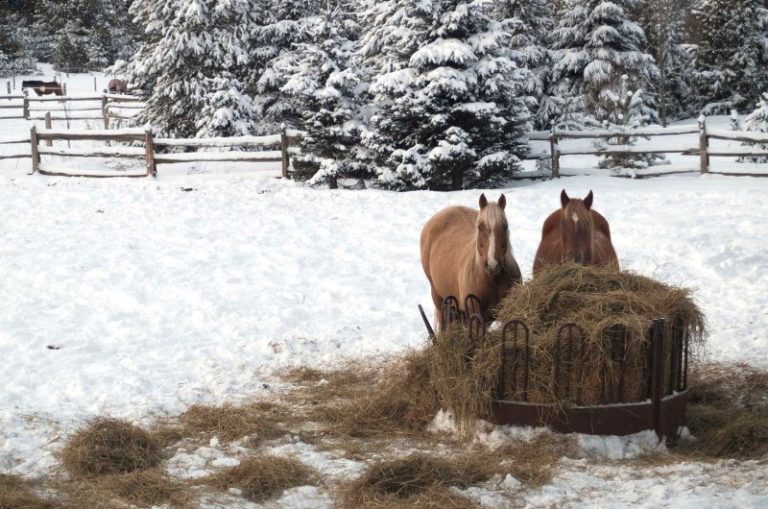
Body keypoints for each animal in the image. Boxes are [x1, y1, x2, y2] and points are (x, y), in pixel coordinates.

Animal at [420, 193, 522, 332]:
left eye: (505, 226)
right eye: (480, 226)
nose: (492, 264)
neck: (491, 279)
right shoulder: (474, 314)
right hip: (438, 298)